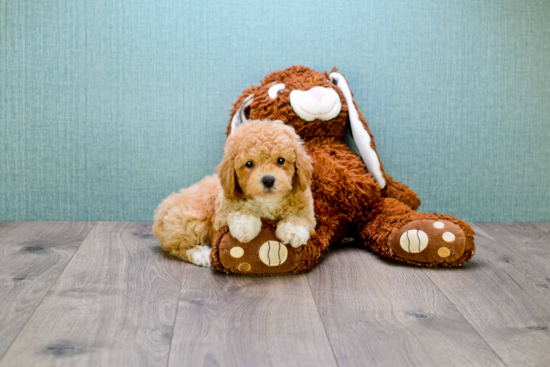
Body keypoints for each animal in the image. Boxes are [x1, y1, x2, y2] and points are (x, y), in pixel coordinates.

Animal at [153, 121, 316, 268]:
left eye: (281, 160)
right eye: (249, 164)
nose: (268, 180)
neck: (267, 202)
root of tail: (159, 212)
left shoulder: (307, 209)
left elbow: (300, 217)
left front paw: (293, 231)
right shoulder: (222, 211)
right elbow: (239, 210)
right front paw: (245, 226)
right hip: (190, 221)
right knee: (179, 247)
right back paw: (202, 254)